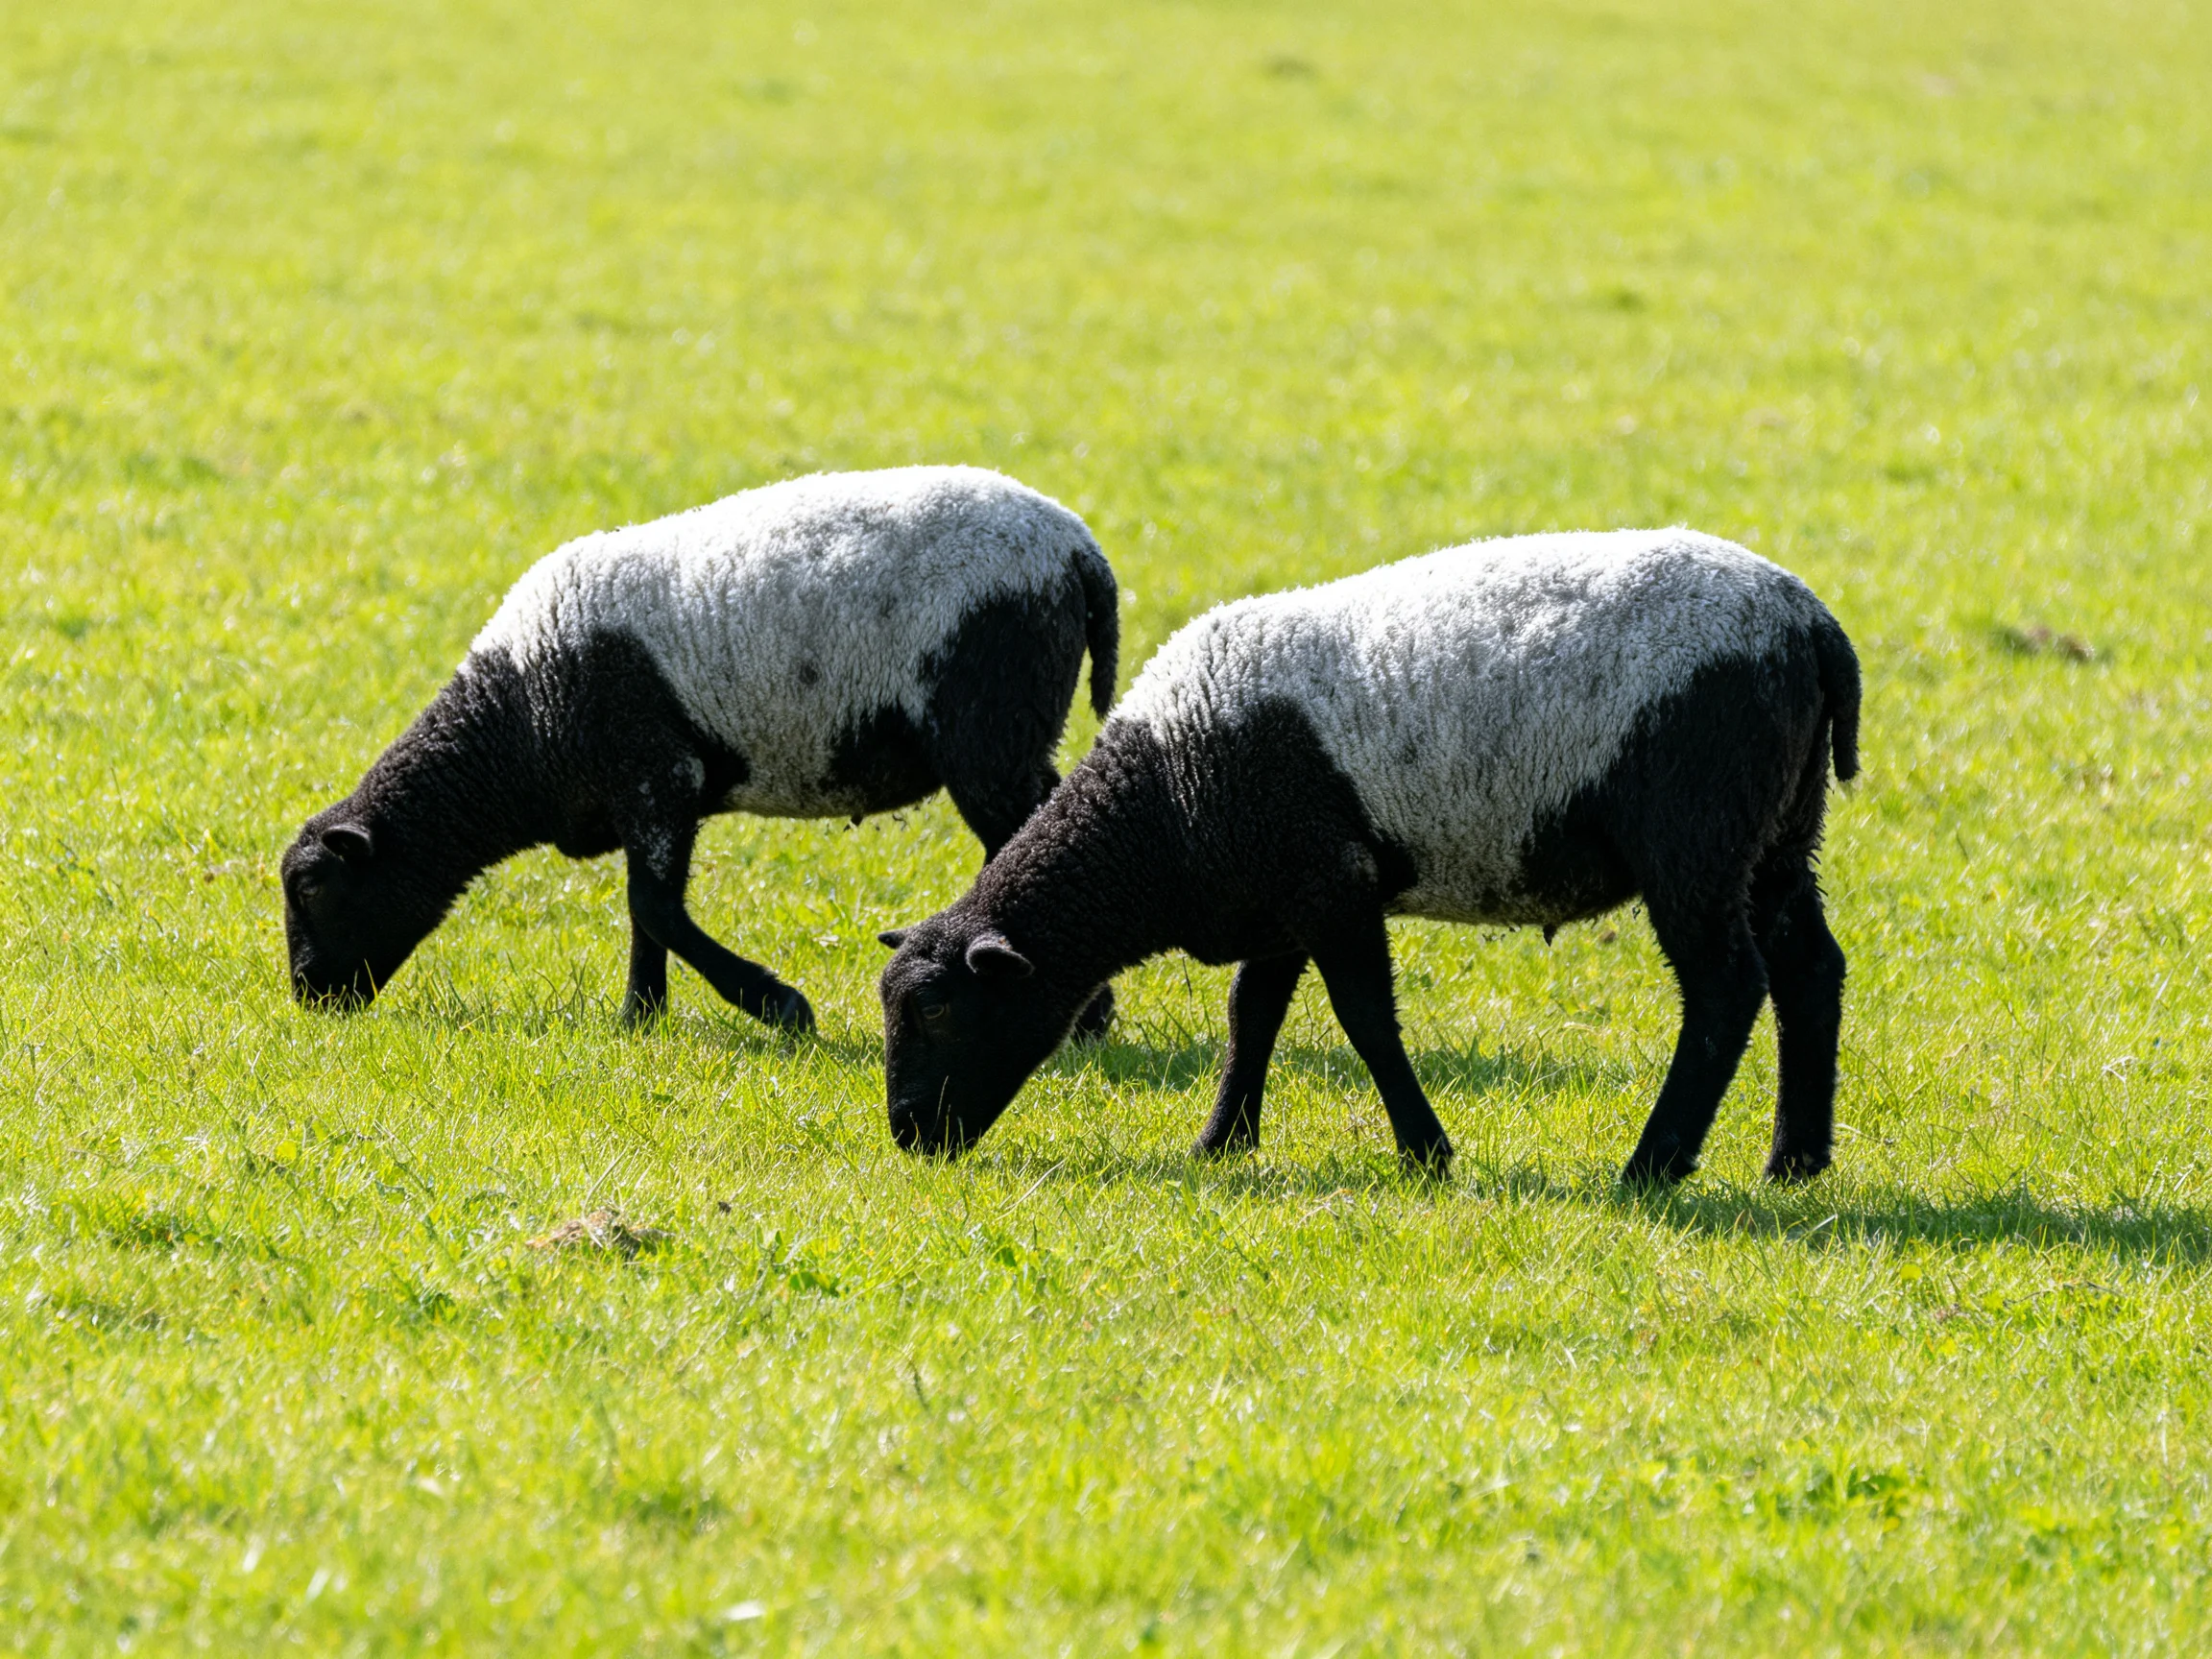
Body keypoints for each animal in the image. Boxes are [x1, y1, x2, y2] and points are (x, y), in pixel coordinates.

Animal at [283, 465, 1120, 1033]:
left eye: (315, 887)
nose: (310, 998)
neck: (519, 714)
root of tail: (1077, 549)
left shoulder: (658, 771)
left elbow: (654, 906)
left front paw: (777, 1006)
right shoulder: (638, 794)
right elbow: (644, 911)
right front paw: (640, 1016)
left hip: (990, 729)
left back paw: (1087, 1020)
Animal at [877, 527, 1860, 1185]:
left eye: (936, 1011)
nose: (908, 1137)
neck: (1162, 803)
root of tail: (1808, 622)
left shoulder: (1332, 886)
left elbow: (1364, 1021)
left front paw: (1427, 1154)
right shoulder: (1277, 894)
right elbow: (1252, 1015)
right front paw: (1222, 1141)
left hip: (1695, 834)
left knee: (1726, 988)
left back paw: (1653, 1163)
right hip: (1779, 832)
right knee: (1810, 968)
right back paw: (1795, 1159)